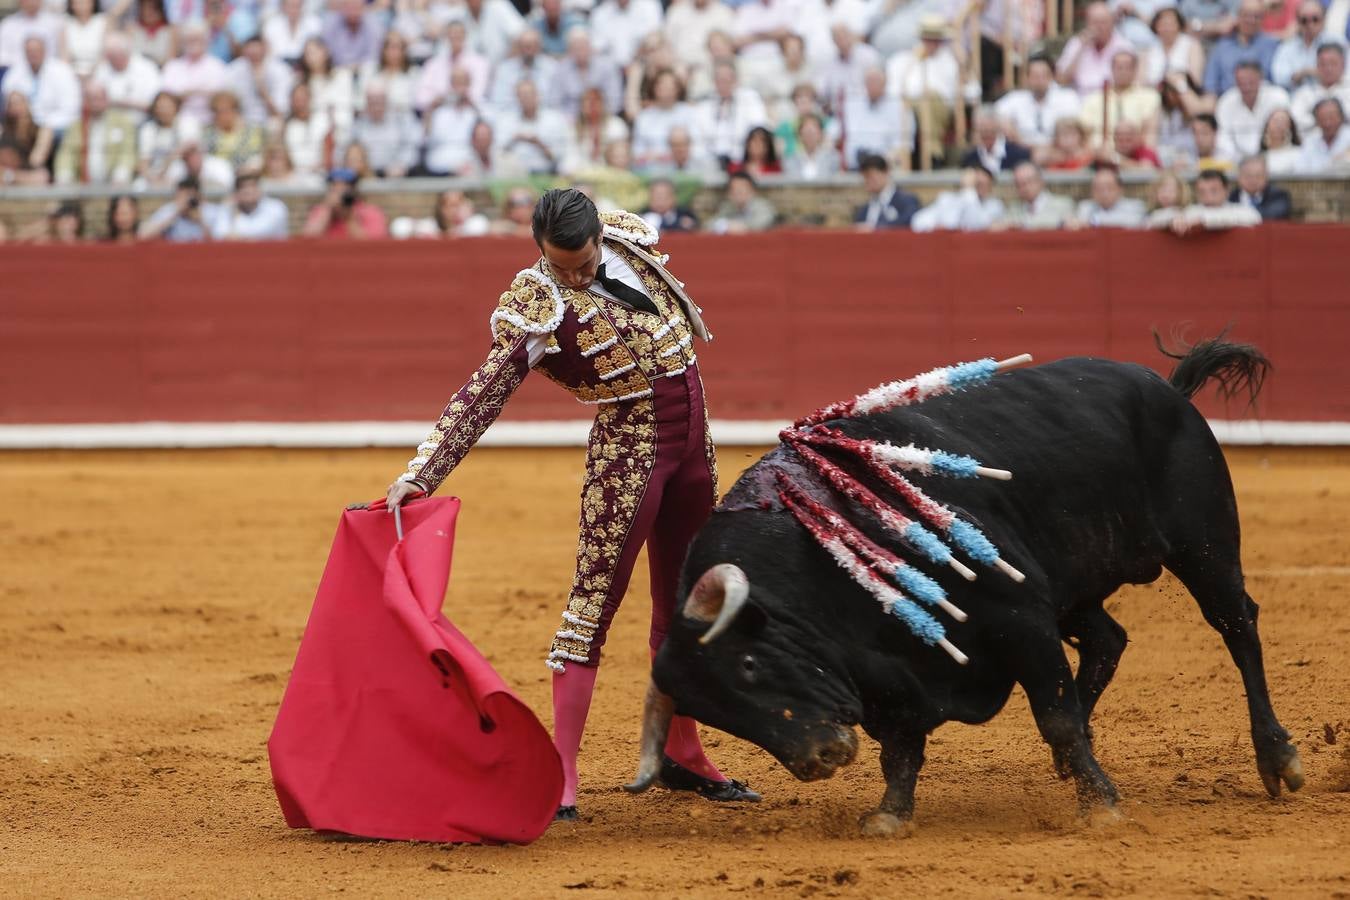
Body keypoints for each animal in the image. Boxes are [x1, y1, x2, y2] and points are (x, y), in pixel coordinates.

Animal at [626, 340, 1301, 836]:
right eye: (715, 713)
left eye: (746, 665)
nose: (818, 759)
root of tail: (1166, 388)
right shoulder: (893, 671)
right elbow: (900, 747)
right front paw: (890, 816)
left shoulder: (1021, 618)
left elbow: (1053, 715)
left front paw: (1101, 806)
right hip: (1072, 586)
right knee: (1109, 640)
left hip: (1204, 546)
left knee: (1237, 627)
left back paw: (1277, 759)